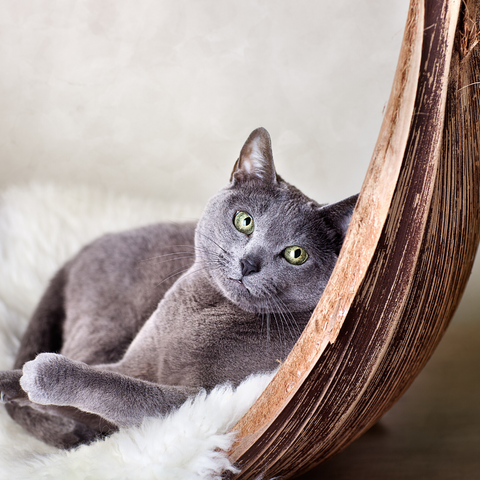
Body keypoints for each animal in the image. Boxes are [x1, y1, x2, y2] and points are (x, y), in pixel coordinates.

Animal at [0, 127, 356, 450]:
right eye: (245, 221)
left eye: (296, 254)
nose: (248, 263)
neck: (203, 310)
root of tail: (80, 252)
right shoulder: (134, 362)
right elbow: (104, 378)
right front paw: (9, 381)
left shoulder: (203, 398)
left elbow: (116, 387)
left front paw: (42, 374)